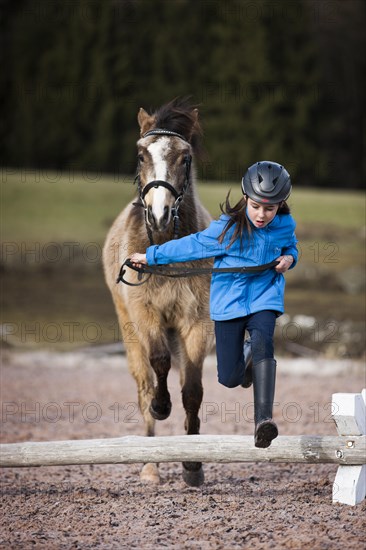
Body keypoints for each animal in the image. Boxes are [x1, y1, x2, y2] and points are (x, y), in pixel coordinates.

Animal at [101, 99, 213, 488]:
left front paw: (193, 465)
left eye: (185, 157)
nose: (160, 214)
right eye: (140, 155)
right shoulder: (145, 315)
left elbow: (192, 390)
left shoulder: (196, 324)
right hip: (130, 333)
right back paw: (149, 465)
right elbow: (160, 364)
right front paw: (162, 407)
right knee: (144, 385)